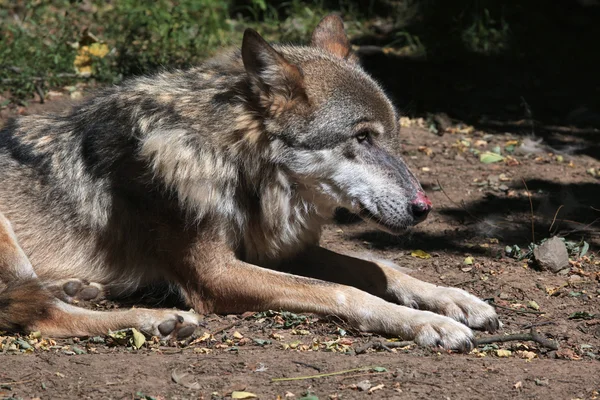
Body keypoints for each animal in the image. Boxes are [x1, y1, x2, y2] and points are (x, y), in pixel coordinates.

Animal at [0, 14, 500, 350]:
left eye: (394, 137)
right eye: (361, 137)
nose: (424, 209)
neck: (238, 166)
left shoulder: (279, 249)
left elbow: (381, 269)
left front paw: (455, 300)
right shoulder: (216, 273)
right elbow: (344, 289)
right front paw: (429, 324)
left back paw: (83, 288)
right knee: (37, 316)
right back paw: (157, 319)